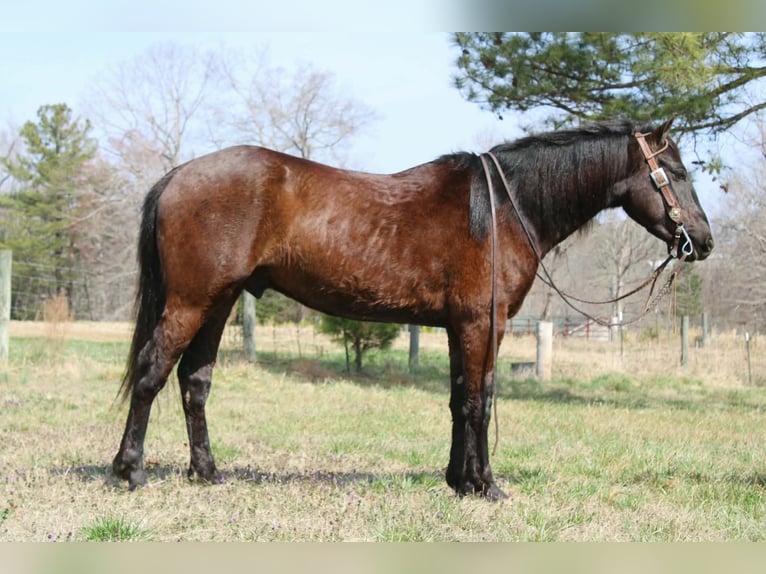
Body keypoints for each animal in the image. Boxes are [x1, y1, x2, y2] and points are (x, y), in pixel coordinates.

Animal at [112, 118, 713, 500]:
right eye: (678, 173)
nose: (703, 242)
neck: (503, 208)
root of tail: (177, 175)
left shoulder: (456, 326)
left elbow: (457, 400)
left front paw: (458, 480)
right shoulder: (483, 323)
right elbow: (481, 401)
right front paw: (486, 485)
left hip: (218, 304)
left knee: (194, 381)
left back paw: (207, 472)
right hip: (191, 302)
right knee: (151, 373)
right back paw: (130, 471)